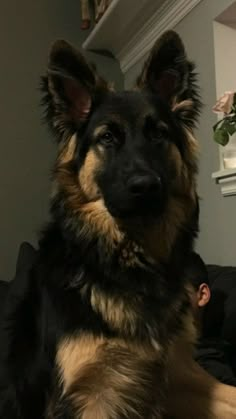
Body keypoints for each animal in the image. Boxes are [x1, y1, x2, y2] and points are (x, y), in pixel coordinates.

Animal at [0, 30, 236, 419]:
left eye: (158, 134)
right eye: (107, 138)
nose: (145, 187)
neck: (130, 262)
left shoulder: (176, 376)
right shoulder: (93, 394)